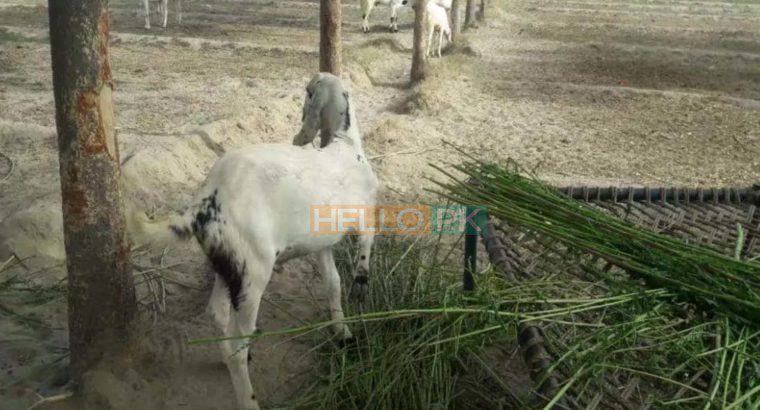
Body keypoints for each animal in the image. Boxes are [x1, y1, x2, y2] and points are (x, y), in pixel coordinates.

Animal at [128, 73, 377, 410]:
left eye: (308, 92)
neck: (345, 144)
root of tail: (205, 203)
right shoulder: (366, 215)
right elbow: (363, 254)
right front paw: (361, 287)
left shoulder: (321, 241)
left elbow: (332, 284)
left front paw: (342, 332)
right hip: (253, 271)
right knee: (237, 341)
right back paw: (248, 396)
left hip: (229, 264)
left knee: (217, 314)